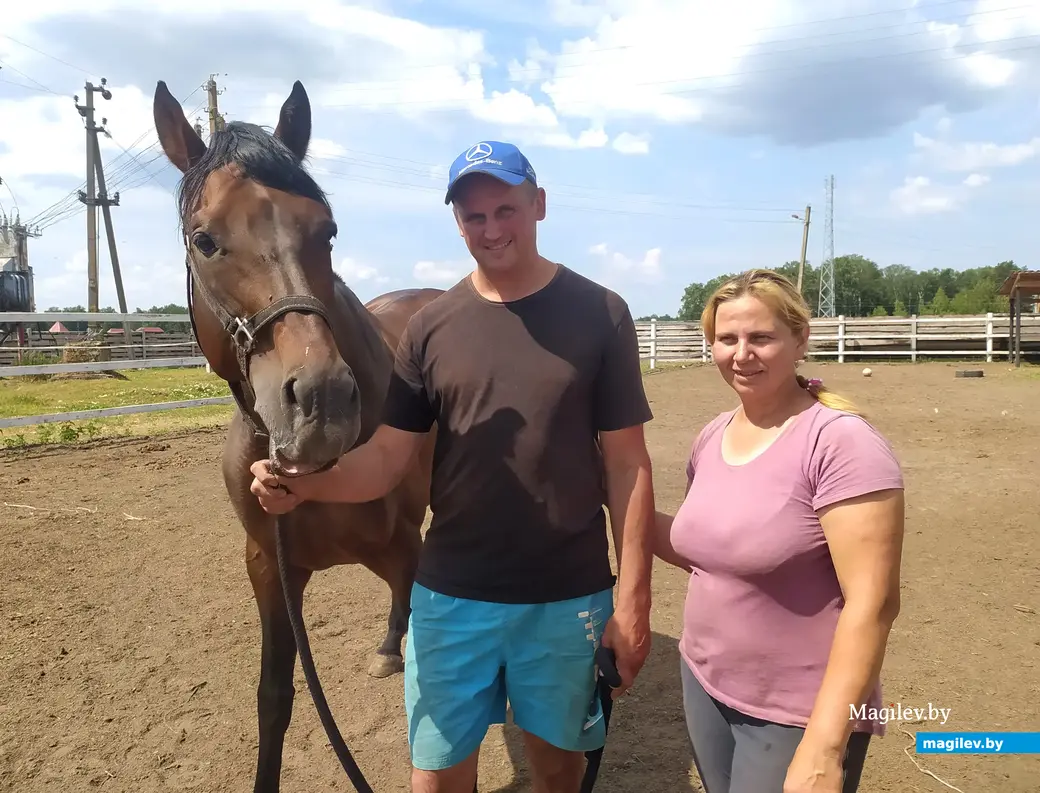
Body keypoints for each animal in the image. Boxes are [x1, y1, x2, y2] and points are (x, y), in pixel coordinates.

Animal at [152, 77, 443, 786]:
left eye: (327, 232)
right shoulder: (268, 568)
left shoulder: (402, 543)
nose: (322, 402)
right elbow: (274, 699)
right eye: (204, 239)